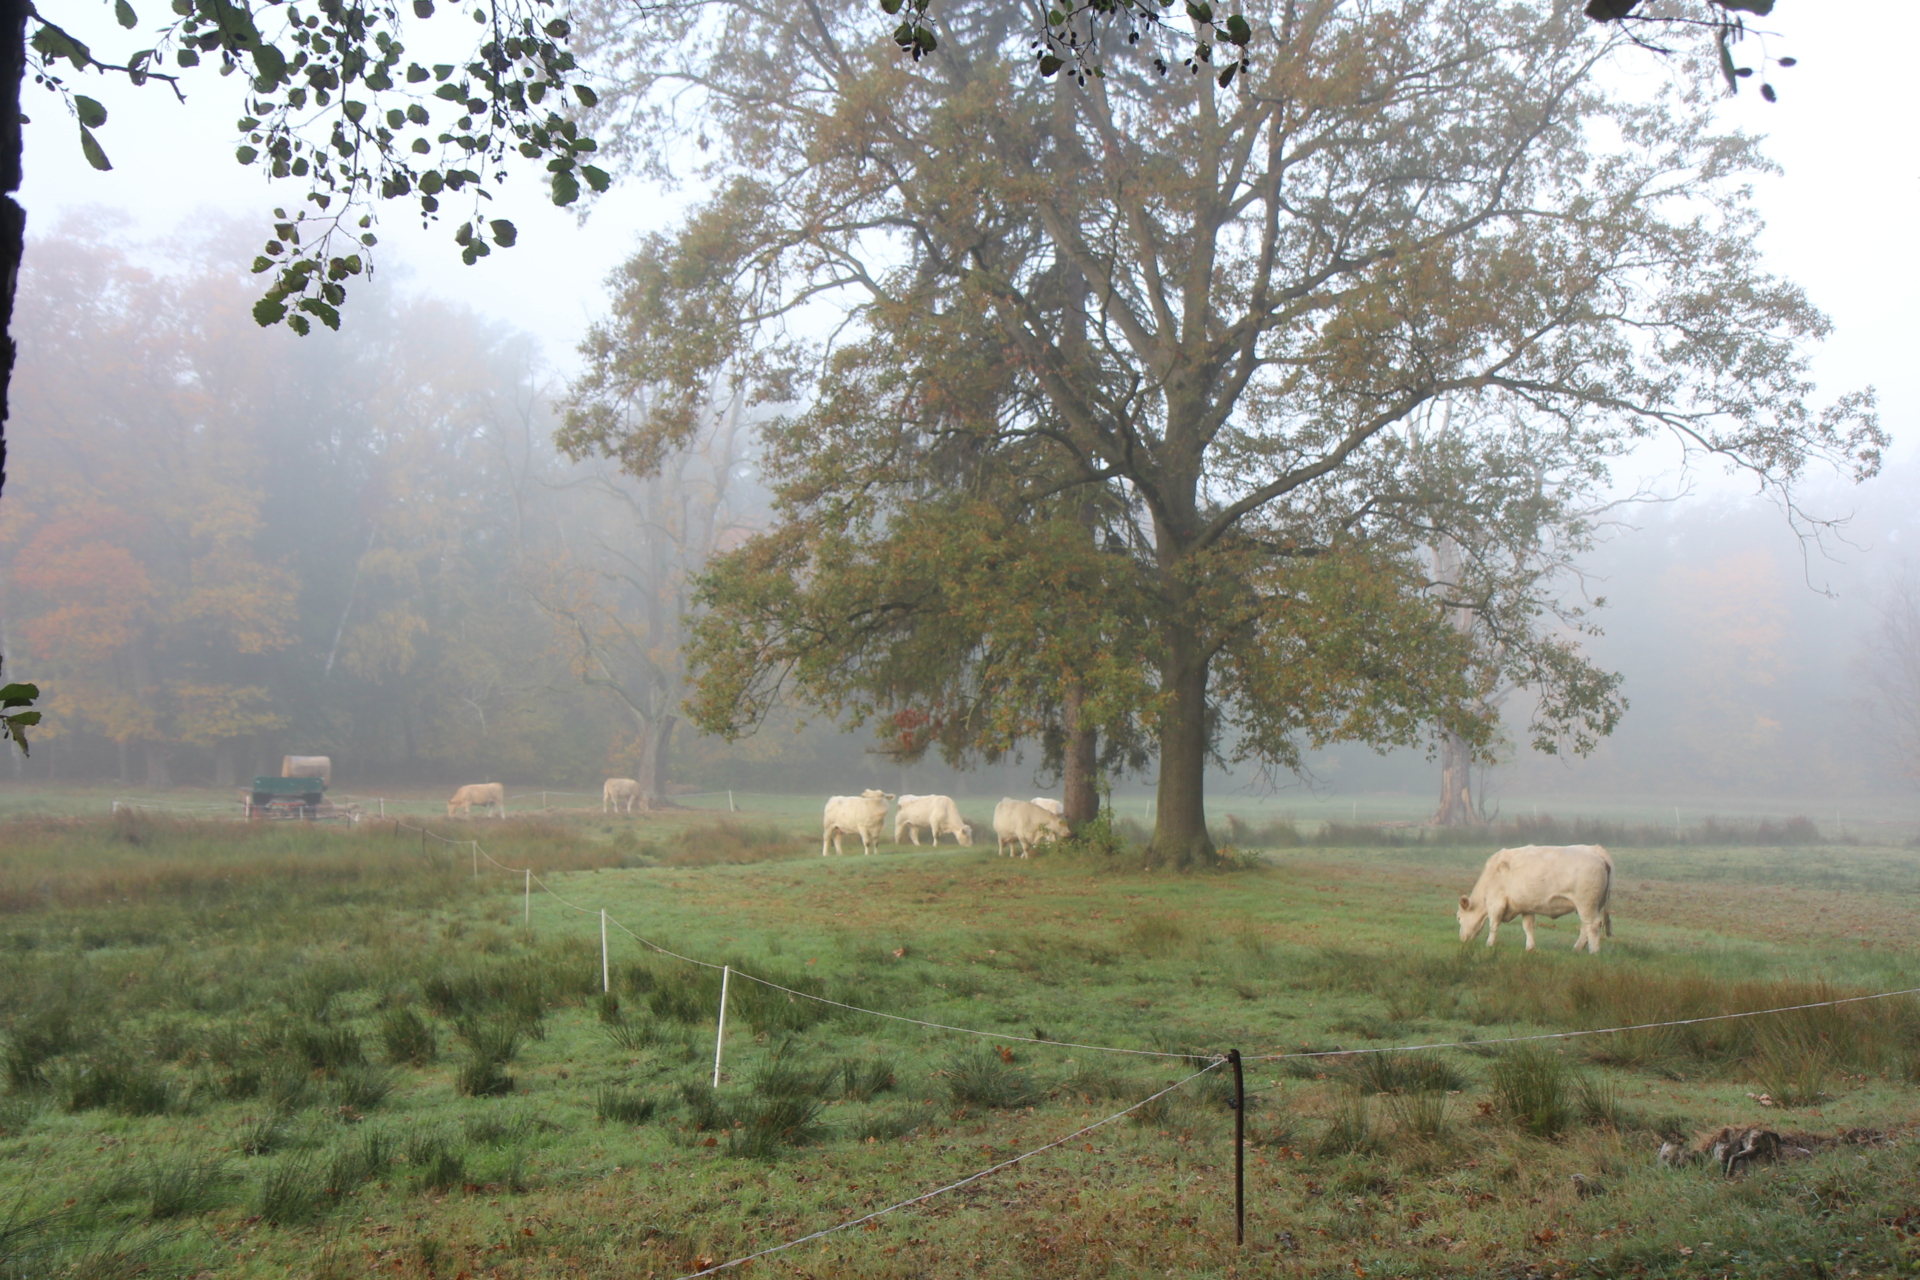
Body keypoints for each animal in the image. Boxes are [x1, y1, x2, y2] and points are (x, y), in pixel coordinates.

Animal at [1451, 844, 1620, 955]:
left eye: (1459, 918)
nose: (1462, 939)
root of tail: (1595, 849)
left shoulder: (1496, 903)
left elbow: (1494, 924)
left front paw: (1489, 944)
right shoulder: (1526, 907)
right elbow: (1528, 927)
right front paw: (1530, 947)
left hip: (1586, 903)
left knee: (1593, 924)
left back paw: (1594, 951)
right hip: (1593, 905)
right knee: (1585, 926)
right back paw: (1577, 948)